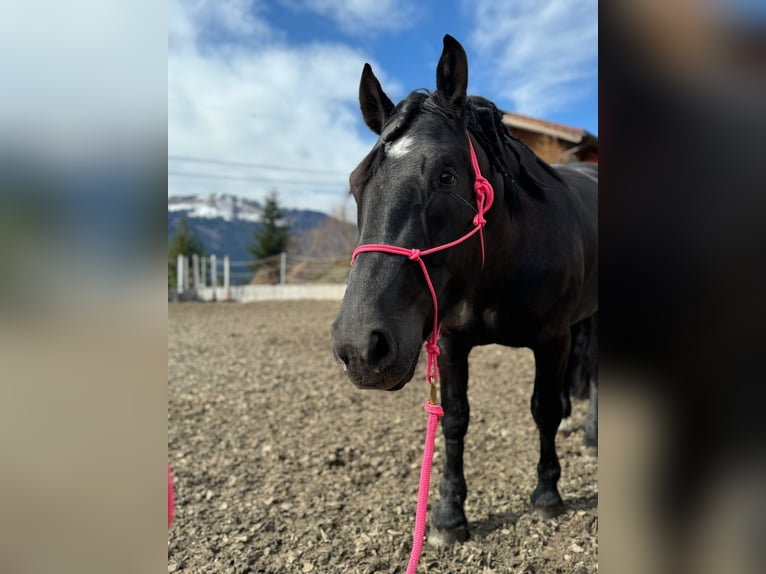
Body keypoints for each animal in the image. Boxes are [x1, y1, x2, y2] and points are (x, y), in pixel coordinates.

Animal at [332, 33, 600, 548]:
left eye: (446, 176)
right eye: (356, 184)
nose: (359, 346)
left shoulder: (552, 339)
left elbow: (544, 410)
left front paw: (546, 494)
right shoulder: (453, 340)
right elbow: (454, 418)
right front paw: (448, 513)